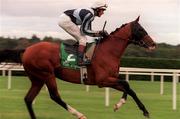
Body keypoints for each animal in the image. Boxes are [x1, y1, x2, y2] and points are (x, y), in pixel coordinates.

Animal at [0, 16, 156, 118]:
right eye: (141, 29)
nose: (153, 44)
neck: (109, 51)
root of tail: (26, 50)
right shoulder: (102, 80)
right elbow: (127, 84)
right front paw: (134, 107)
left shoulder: (111, 79)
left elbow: (128, 88)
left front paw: (125, 106)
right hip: (46, 74)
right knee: (54, 96)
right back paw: (79, 114)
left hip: (37, 79)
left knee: (28, 99)